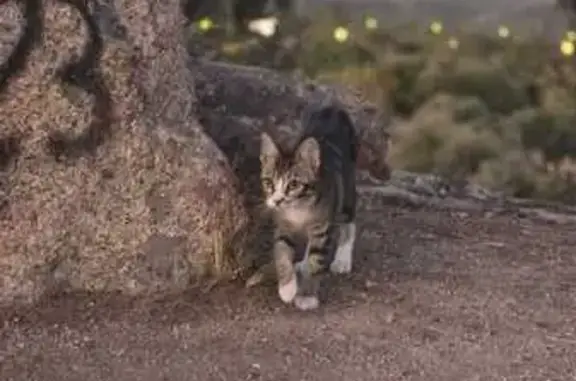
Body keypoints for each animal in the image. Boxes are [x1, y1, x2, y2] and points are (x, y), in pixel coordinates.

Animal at [258, 103, 358, 308]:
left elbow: (317, 260)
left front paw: (306, 295)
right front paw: (287, 288)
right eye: (269, 183)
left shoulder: (323, 228)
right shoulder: (283, 225)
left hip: (346, 189)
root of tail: (333, 111)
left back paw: (343, 258)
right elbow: (281, 251)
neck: (298, 208)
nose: (277, 200)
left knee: (349, 221)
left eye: (293, 185)